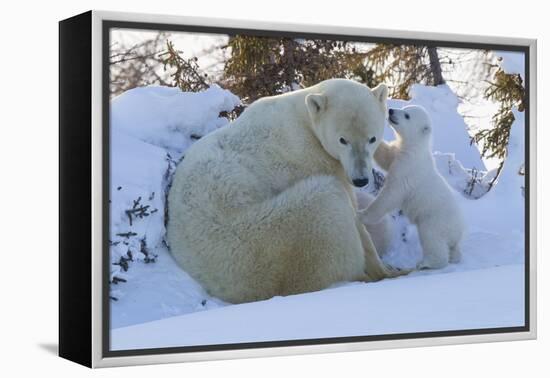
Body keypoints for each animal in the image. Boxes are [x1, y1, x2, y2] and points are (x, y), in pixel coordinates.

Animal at [166, 78, 404, 302]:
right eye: (342, 140)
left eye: (372, 138)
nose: (361, 180)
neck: (304, 118)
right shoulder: (312, 158)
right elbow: (355, 215)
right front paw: (386, 270)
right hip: (269, 235)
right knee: (329, 204)